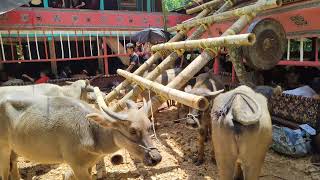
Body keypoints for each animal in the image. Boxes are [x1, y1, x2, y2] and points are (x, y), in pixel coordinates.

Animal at [0, 93, 160, 179]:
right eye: (132, 130)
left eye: (149, 126)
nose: (156, 158)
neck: (91, 132)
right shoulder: (77, 166)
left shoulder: (88, 165)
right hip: (3, 148)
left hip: (14, 149)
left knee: (13, 165)